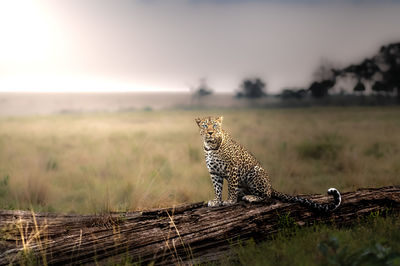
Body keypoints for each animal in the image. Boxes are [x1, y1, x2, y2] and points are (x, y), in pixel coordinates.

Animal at [194, 115, 340, 213]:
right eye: (205, 126)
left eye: (215, 126)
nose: (210, 133)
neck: (211, 146)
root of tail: (271, 185)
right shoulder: (213, 172)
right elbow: (217, 188)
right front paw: (216, 201)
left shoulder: (232, 167)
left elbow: (231, 187)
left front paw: (230, 201)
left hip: (255, 172)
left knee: (267, 196)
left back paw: (251, 197)